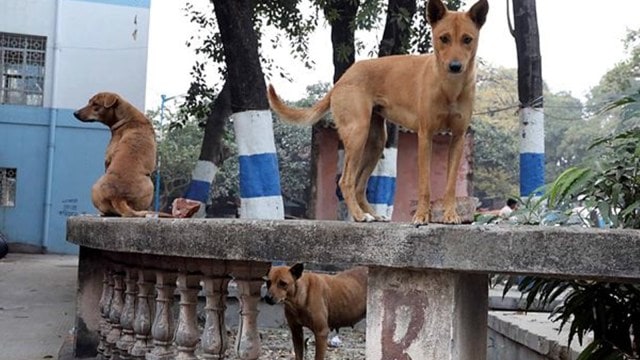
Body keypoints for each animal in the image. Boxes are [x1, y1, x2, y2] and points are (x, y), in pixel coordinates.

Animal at [268, 0, 488, 225]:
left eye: (467, 39)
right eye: (444, 38)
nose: (455, 66)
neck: (449, 87)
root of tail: (342, 79)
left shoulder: (458, 137)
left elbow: (450, 185)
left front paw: (451, 214)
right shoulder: (425, 136)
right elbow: (424, 185)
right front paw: (420, 216)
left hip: (375, 143)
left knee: (359, 186)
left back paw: (373, 214)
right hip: (358, 133)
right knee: (346, 181)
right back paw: (359, 215)